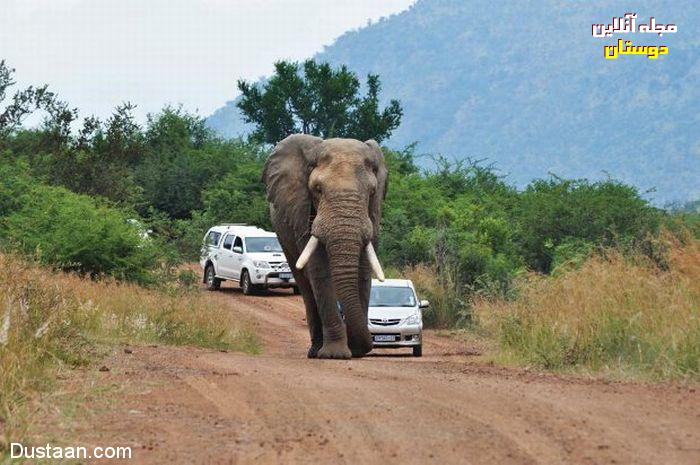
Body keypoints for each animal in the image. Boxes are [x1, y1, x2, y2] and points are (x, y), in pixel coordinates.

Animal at [262, 134, 388, 358]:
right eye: (318, 190)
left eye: (372, 191)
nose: (364, 347)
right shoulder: (303, 214)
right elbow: (319, 271)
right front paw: (335, 355)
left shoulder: (373, 216)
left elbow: (363, 271)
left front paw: (355, 351)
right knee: (305, 285)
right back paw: (315, 351)